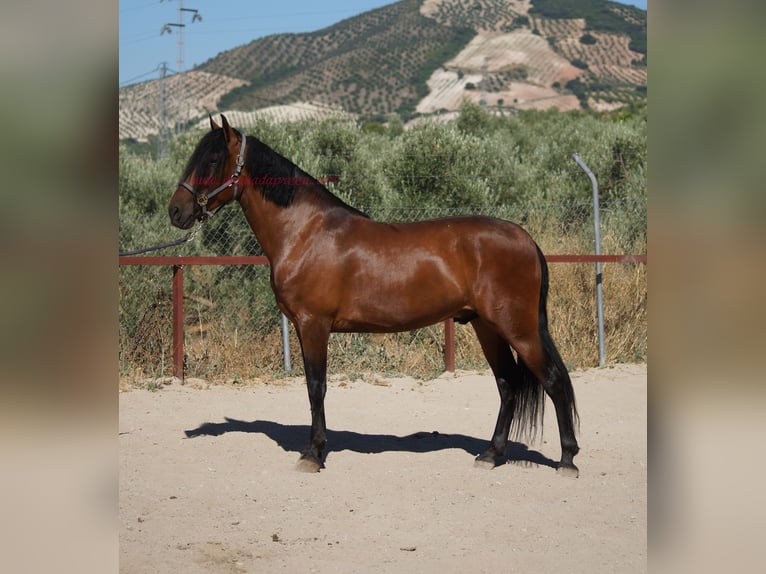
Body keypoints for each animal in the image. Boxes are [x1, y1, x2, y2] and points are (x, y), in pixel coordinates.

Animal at [168, 115, 580, 476]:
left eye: (212, 159)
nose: (176, 211)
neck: (305, 231)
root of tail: (525, 239)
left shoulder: (314, 325)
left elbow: (316, 387)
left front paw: (313, 454)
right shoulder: (304, 326)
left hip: (518, 329)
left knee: (554, 380)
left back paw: (567, 460)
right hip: (487, 327)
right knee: (508, 384)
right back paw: (491, 455)